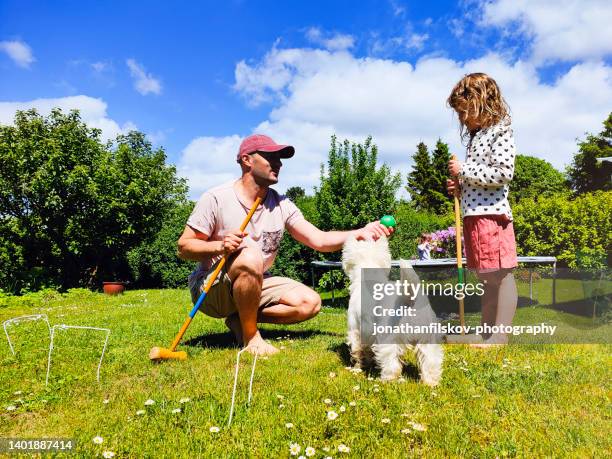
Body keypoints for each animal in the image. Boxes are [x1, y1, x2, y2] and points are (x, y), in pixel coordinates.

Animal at [342, 235, 442, 386]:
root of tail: (409, 300)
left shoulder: (356, 329)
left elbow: (357, 350)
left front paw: (357, 367)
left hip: (388, 337)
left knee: (391, 363)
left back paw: (386, 380)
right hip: (428, 338)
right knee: (431, 360)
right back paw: (430, 383)